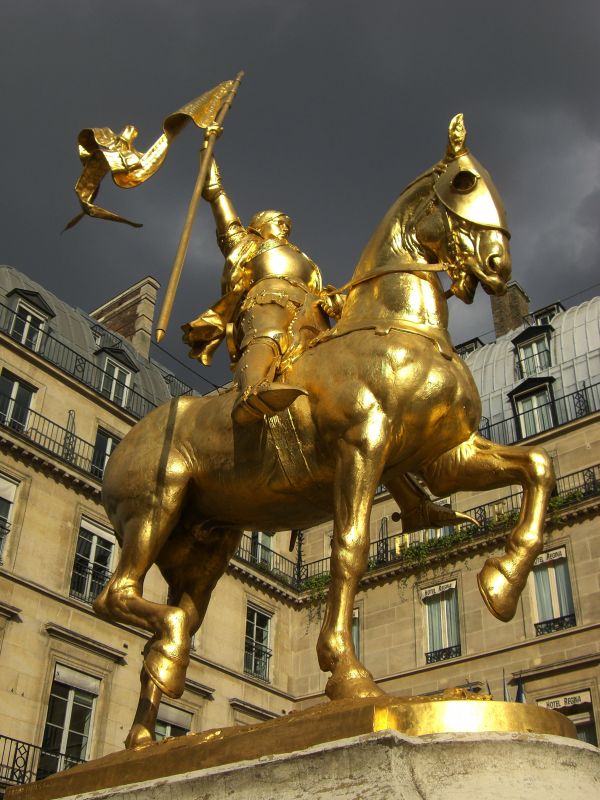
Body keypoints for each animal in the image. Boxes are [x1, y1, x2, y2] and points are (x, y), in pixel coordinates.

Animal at [97, 115, 552, 748]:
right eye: (464, 181)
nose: (497, 265)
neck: (397, 323)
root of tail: (129, 439)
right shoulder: (364, 444)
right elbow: (350, 548)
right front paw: (347, 672)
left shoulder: (443, 456)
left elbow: (538, 469)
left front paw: (502, 583)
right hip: (155, 506)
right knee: (117, 594)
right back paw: (170, 651)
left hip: (205, 547)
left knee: (157, 620)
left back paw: (145, 733)